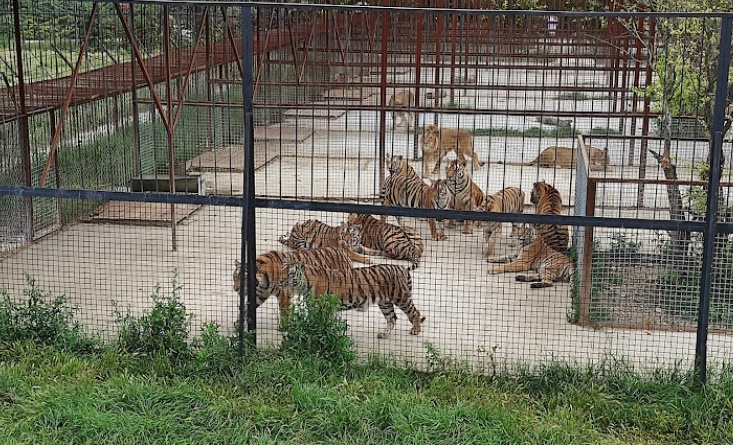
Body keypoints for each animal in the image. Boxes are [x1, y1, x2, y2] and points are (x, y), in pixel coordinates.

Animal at [233, 246, 372, 316]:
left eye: (244, 278)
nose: (235, 289)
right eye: (235, 277)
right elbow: (248, 308)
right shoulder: (260, 294)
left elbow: (284, 313)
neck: (263, 281)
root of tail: (342, 251)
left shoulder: (284, 294)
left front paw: (284, 328)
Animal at [278, 260, 424, 336]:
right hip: (385, 302)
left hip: (401, 297)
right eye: (281, 271)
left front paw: (321, 332)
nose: (280, 281)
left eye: (290, 273)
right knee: (392, 318)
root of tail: (402, 267)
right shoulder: (312, 306)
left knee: (414, 312)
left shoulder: (324, 307)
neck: (303, 285)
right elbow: (313, 321)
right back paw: (384, 334)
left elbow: (322, 323)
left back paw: (415, 330)